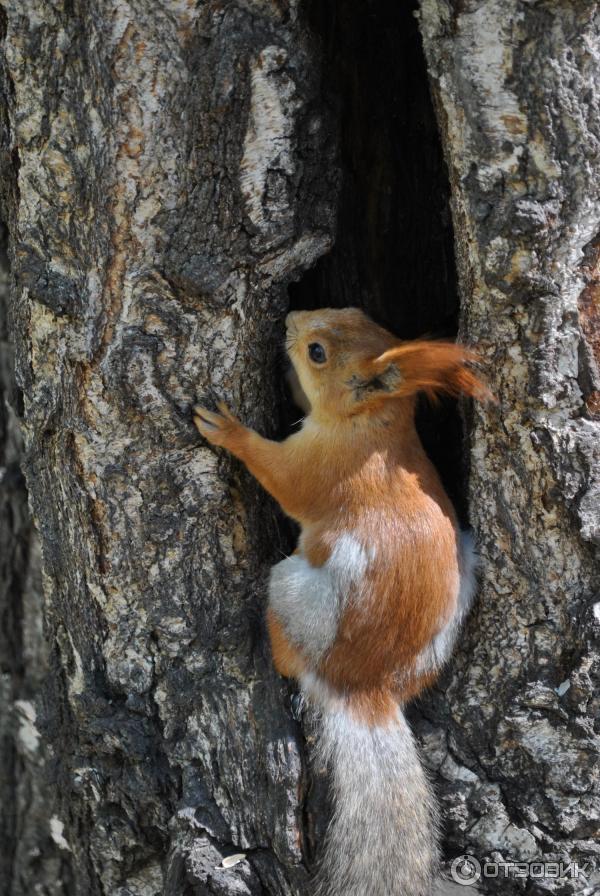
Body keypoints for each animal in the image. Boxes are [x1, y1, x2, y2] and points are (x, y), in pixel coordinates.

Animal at [195, 308, 490, 896]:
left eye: (317, 354)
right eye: (355, 312)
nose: (289, 319)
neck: (374, 428)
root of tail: (364, 688)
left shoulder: (320, 471)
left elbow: (282, 478)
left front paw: (228, 429)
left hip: (297, 592)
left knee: (290, 650)